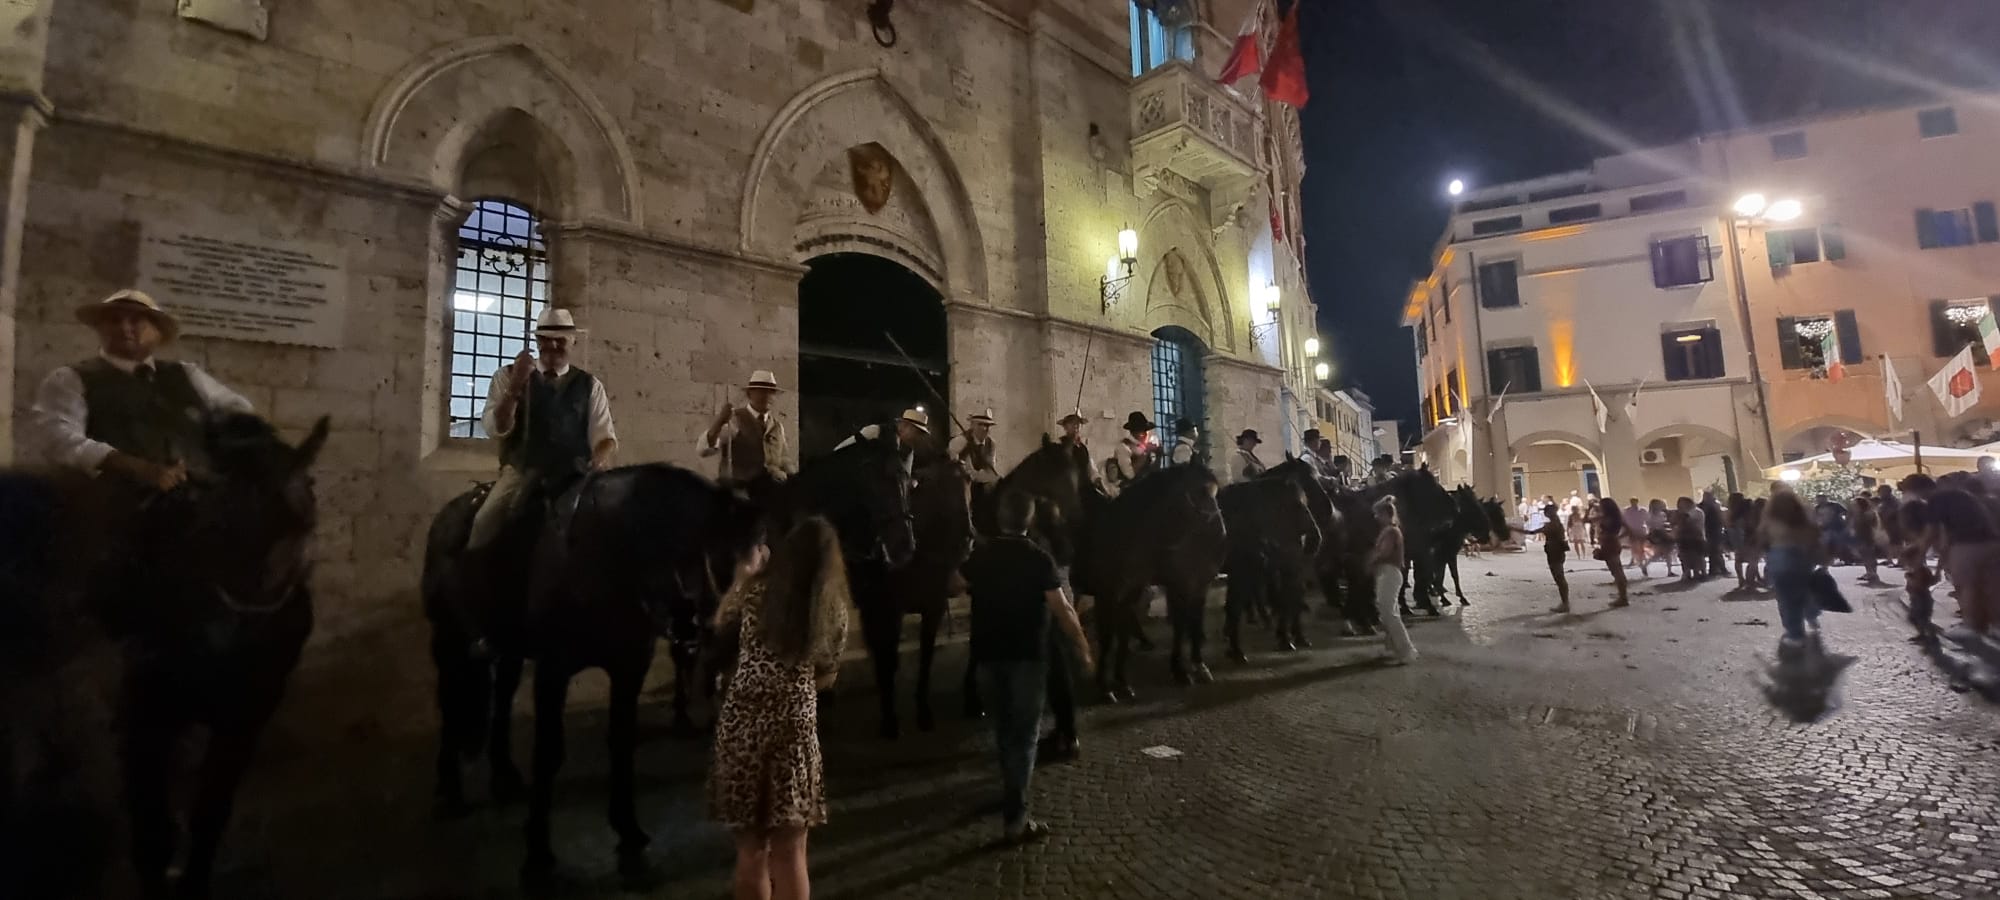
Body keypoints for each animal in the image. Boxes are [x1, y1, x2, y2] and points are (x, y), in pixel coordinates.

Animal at [1, 412, 329, 900]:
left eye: (307, 492)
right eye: (214, 510)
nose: (256, 612)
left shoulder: (242, 722)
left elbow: (209, 814)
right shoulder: (141, 723)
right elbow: (152, 833)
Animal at [1077, 464, 1227, 699]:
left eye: (1216, 493)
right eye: (1200, 494)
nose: (1220, 540)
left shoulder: (1196, 584)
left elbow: (1191, 622)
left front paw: (1195, 666)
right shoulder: (1110, 594)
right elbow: (1109, 638)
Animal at [1220, 471, 1322, 662]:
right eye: (1296, 505)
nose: (1315, 539)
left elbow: (1288, 596)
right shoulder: (1241, 572)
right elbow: (1235, 606)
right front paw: (1236, 650)